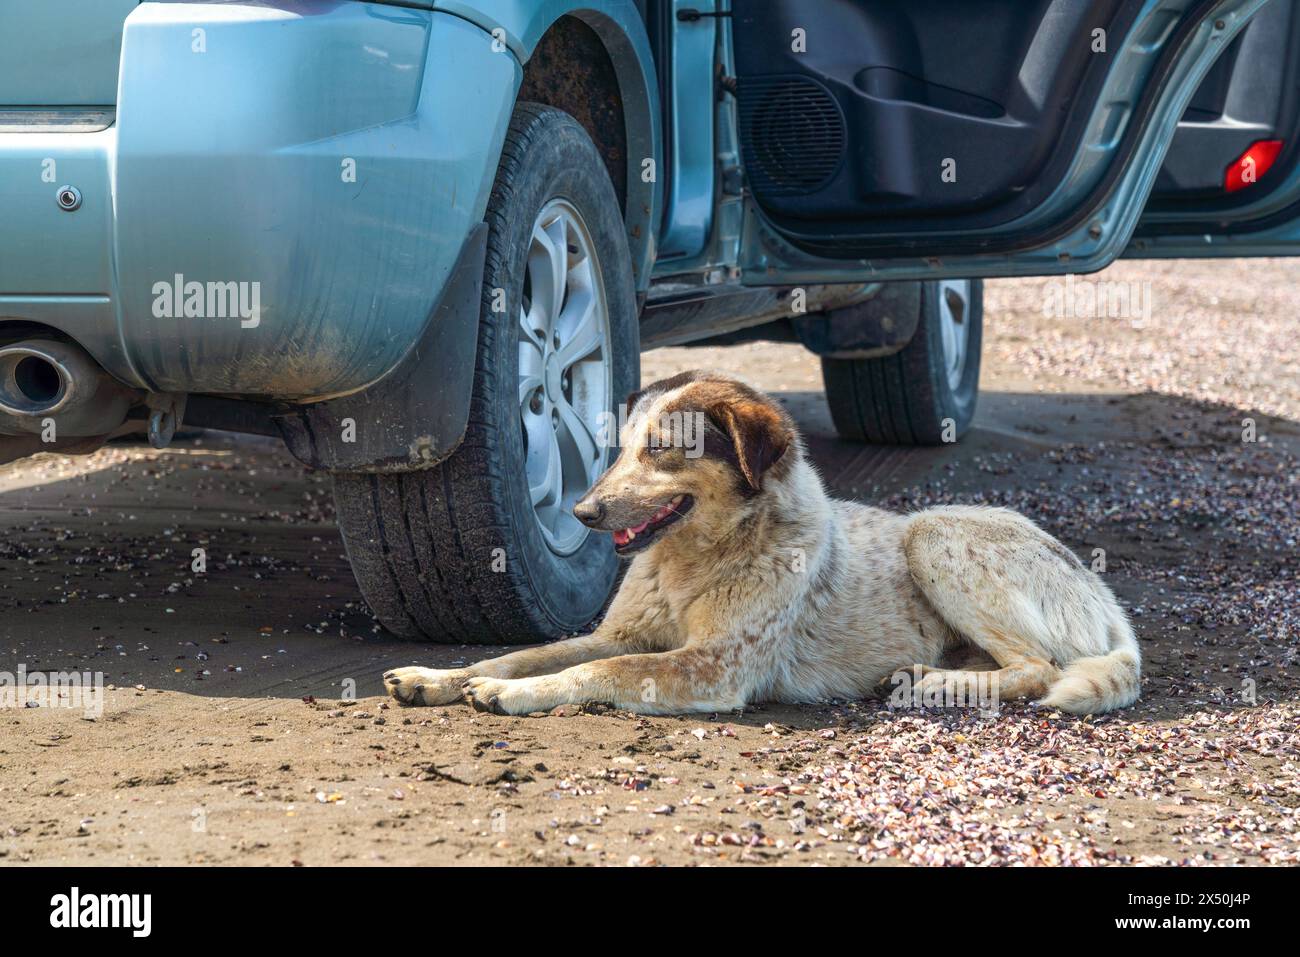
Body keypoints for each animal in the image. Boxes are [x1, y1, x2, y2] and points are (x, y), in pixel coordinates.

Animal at [382, 374, 1138, 717]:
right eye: (620, 447)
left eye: (662, 450)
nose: (582, 511)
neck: (695, 559)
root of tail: (1105, 596)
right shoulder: (619, 632)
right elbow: (522, 653)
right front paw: (440, 676)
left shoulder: (710, 667)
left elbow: (597, 671)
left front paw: (514, 694)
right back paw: (929, 674)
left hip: (933, 531)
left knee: (1038, 668)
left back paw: (939, 683)